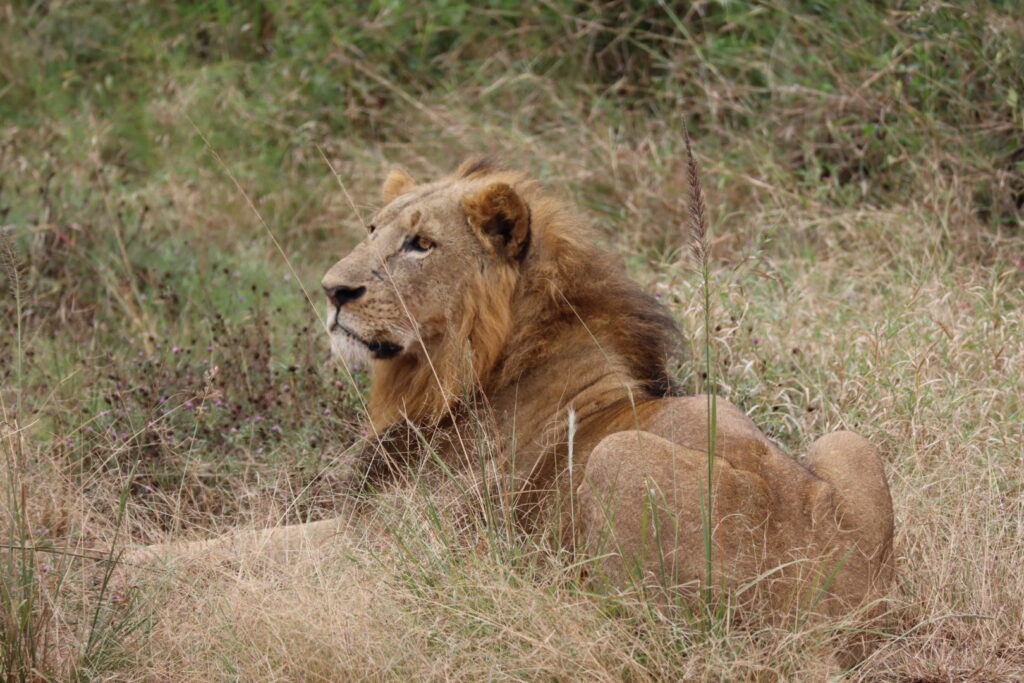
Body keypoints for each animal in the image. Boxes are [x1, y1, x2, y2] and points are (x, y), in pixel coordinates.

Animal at [138, 158, 897, 626]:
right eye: (371, 230)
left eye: (419, 244)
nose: (332, 290)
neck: (452, 372)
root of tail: (846, 605)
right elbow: (232, 543)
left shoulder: (391, 547)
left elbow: (239, 551)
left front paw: (124, 569)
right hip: (849, 443)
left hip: (619, 457)